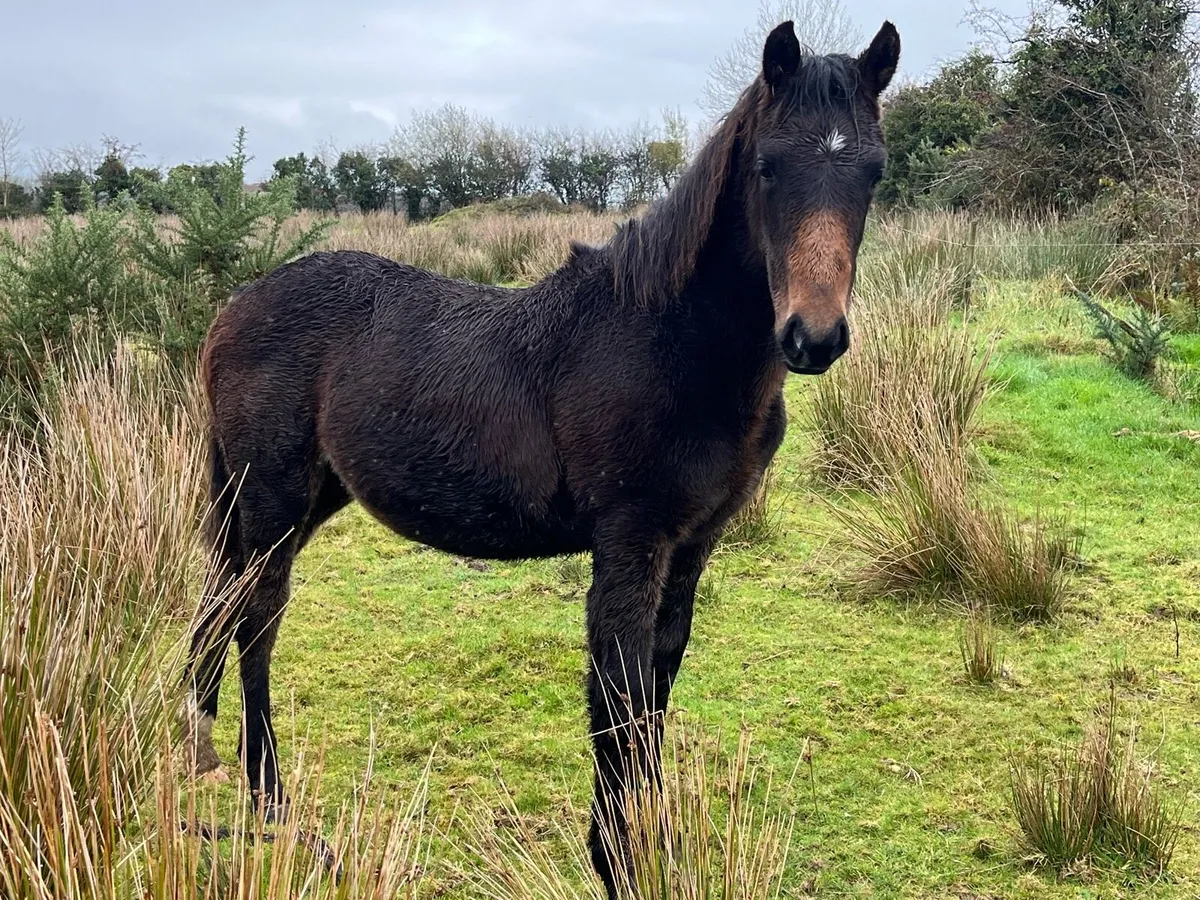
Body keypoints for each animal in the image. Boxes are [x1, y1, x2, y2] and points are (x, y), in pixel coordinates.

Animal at [183, 19, 899, 895]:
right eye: (768, 167)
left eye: (873, 172)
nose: (813, 337)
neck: (667, 341)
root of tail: (234, 307)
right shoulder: (628, 545)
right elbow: (617, 704)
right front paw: (616, 860)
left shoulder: (691, 547)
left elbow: (655, 695)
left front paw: (653, 847)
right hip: (272, 503)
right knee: (255, 624)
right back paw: (274, 806)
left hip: (304, 497)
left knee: (221, 611)